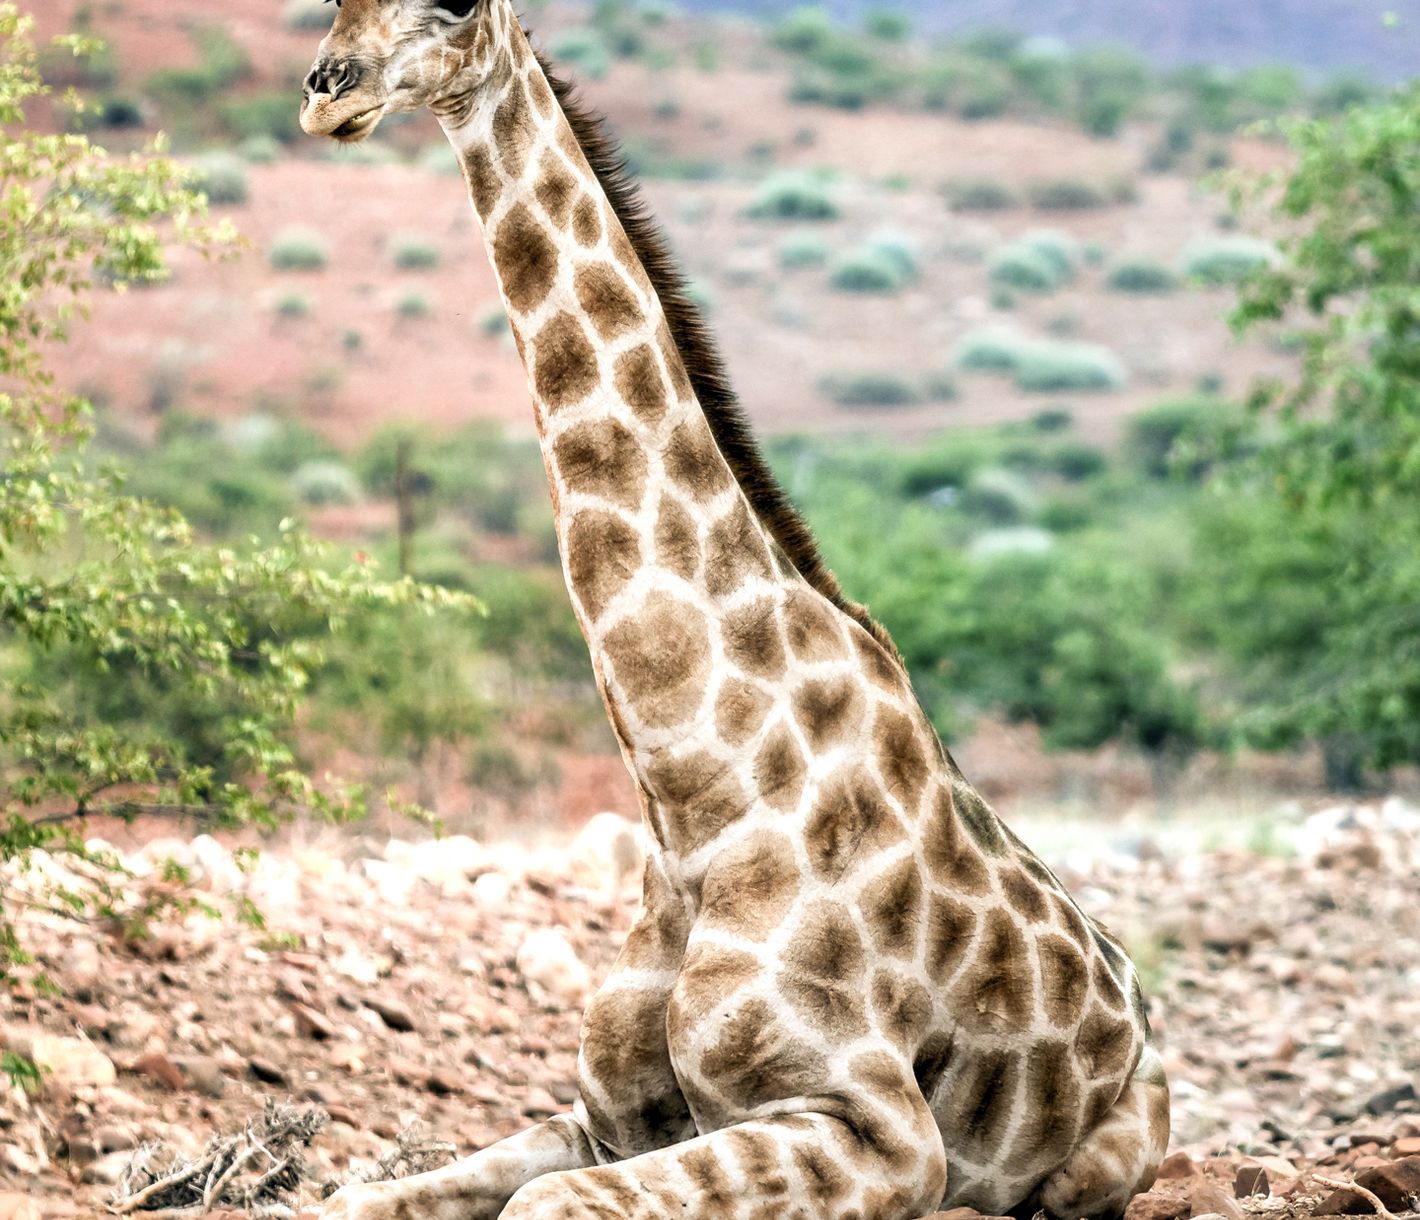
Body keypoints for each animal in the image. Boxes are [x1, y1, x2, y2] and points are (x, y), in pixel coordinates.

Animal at [298, 3, 1171, 1217]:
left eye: (459, 10)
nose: (327, 91)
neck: (692, 797)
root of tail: (1139, 995)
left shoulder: (877, 1127)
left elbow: (539, 1203)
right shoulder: (601, 1117)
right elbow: (359, 1195)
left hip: (1101, 1155)